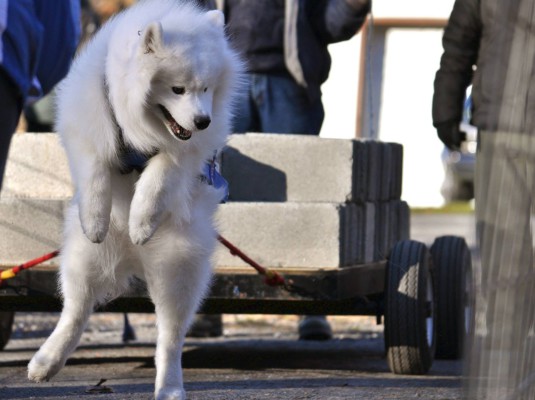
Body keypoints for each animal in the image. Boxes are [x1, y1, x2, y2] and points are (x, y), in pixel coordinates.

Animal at [27, 1, 241, 398]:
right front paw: (95, 220)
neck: (144, 128)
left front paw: (141, 223)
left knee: (169, 338)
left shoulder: (185, 154)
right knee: (75, 311)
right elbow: (95, 175)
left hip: (179, 267)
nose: (202, 121)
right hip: (81, 258)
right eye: (177, 89)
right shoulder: (88, 126)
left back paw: (169, 386)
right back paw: (45, 362)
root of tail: (132, 259)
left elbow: (160, 176)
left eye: (206, 88)